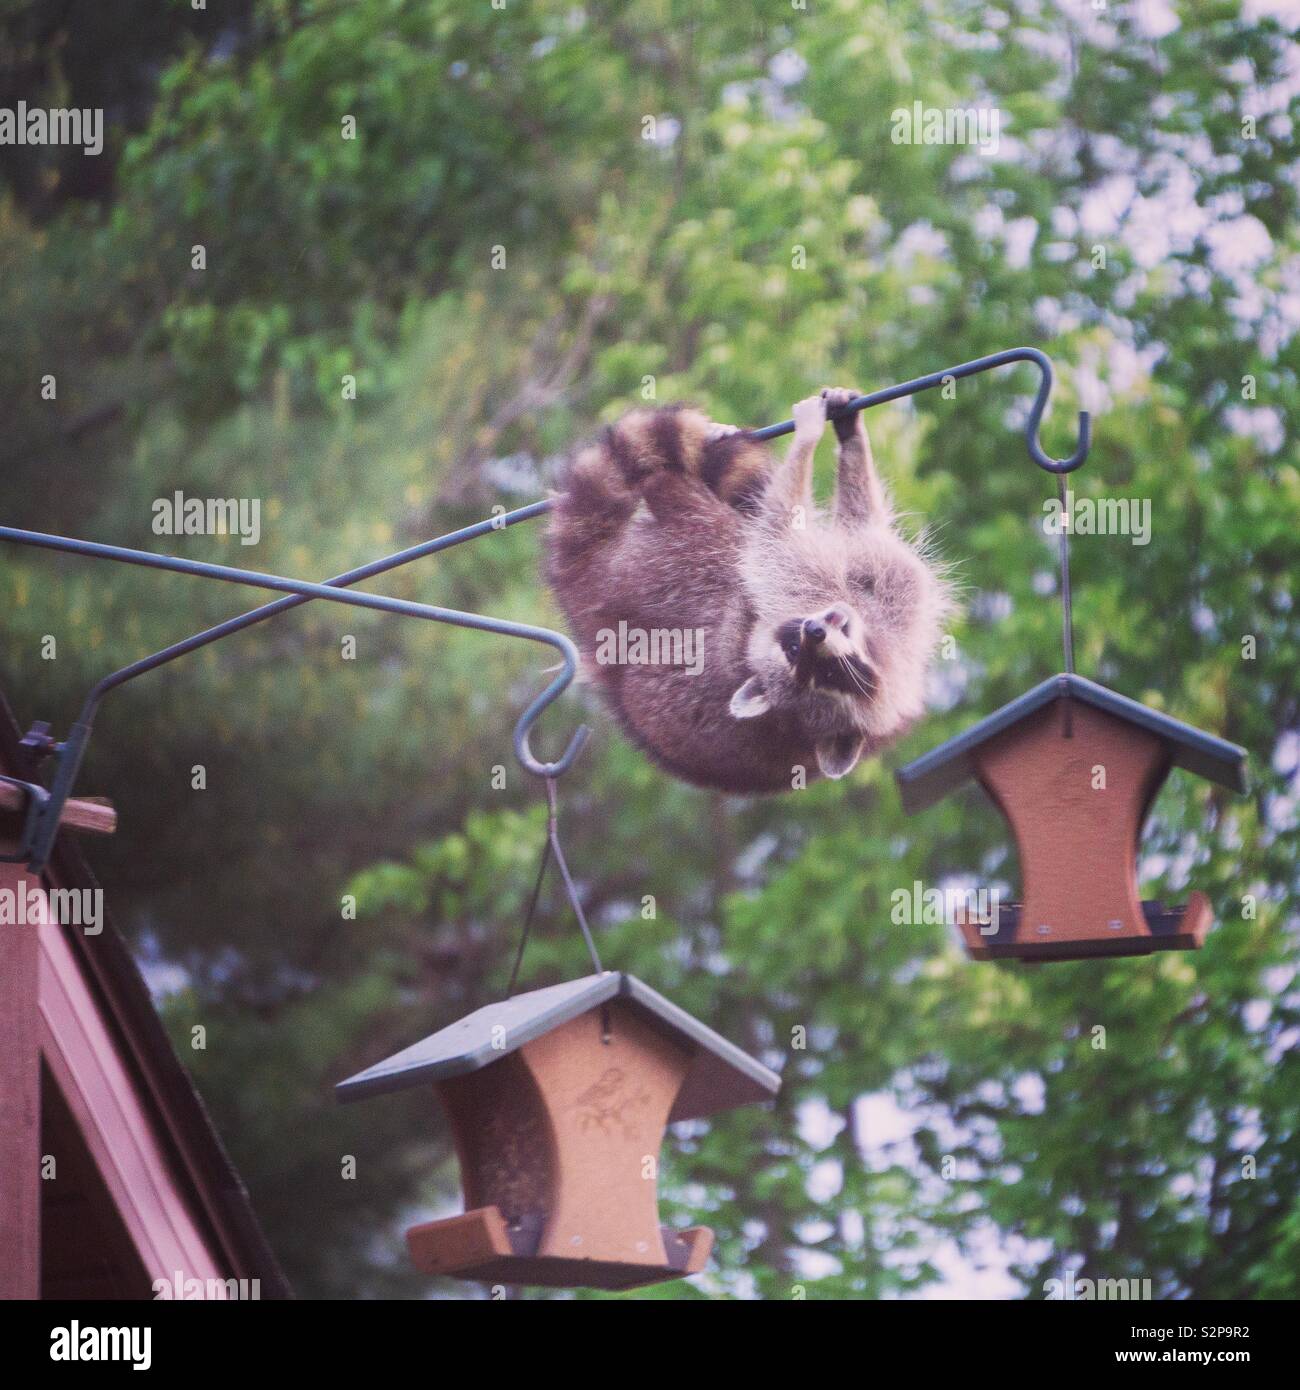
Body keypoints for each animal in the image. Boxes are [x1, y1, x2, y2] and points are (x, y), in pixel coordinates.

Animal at [545, 389, 951, 795]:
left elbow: (833, 532)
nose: (812, 631)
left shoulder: (889, 628)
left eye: (832, 674)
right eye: (794, 652)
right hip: (666, 570)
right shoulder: (856, 607)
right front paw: (835, 435)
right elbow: (805, 529)